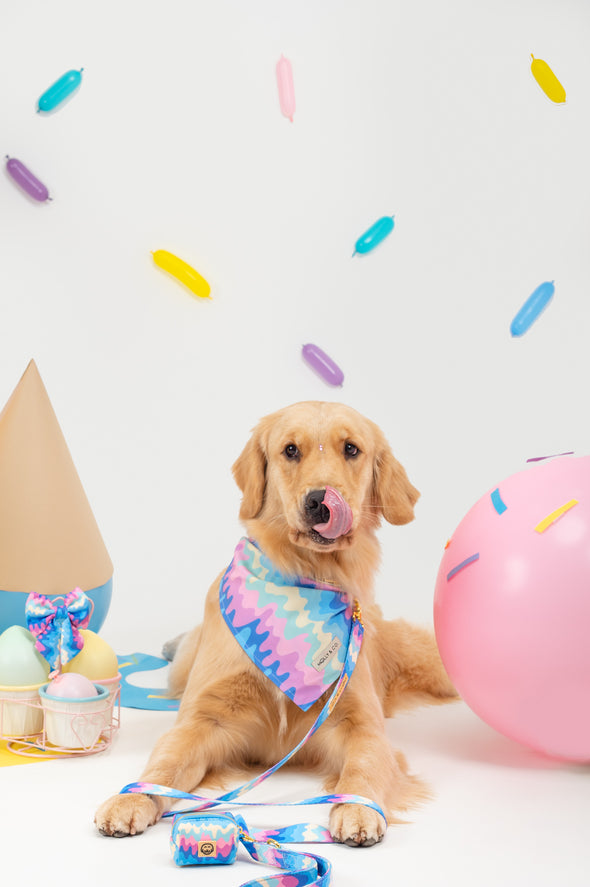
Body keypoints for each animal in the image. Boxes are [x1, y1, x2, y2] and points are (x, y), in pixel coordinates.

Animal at [97, 402, 458, 848]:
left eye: (351, 449)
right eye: (290, 450)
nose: (320, 502)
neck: (306, 577)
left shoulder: (362, 722)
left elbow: (364, 764)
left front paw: (357, 808)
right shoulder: (203, 719)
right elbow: (164, 763)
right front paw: (131, 799)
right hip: (185, 669)